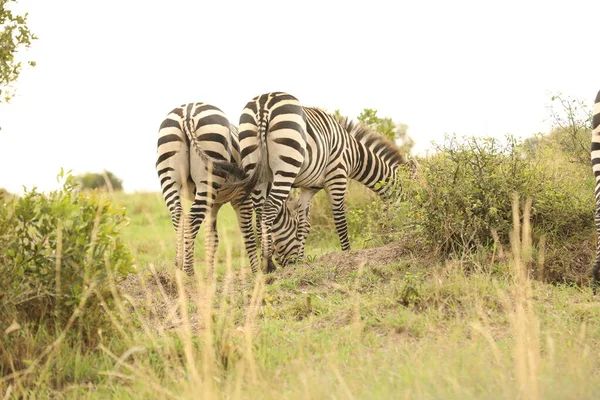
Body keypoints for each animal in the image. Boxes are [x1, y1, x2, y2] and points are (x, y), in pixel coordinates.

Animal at [155, 102, 300, 276]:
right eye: (296, 228)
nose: (297, 263)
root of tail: (188, 112)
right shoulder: (242, 198)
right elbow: (249, 232)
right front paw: (257, 271)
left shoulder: (214, 204)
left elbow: (212, 239)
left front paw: (209, 275)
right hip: (208, 174)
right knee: (191, 218)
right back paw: (189, 272)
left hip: (169, 176)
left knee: (177, 214)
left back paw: (178, 264)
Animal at [234, 90, 408, 272]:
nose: (403, 235)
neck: (355, 155)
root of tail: (263, 104)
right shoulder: (337, 176)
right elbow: (340, 219)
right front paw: (347, 255)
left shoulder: (308, 188)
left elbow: (304, 225)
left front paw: (300, 262)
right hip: (286, 166)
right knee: (269, 208)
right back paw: (268, 264)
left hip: (255, 166)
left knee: (260, 212)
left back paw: (267, 263)